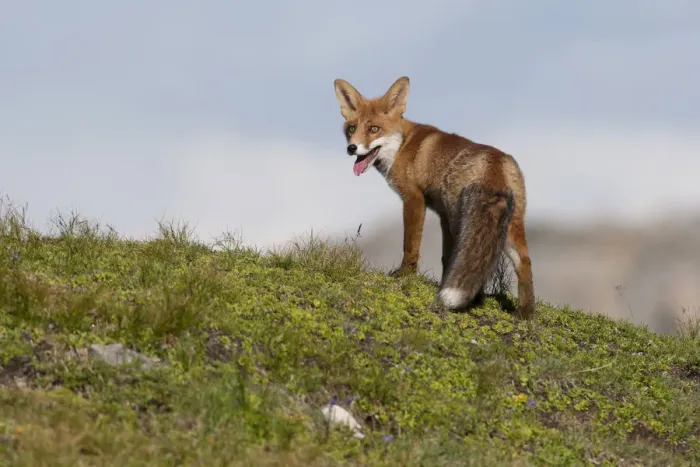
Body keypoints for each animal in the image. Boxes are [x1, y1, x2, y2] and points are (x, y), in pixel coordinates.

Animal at [333, 76, 535, 319]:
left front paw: (404, 275)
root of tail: (495, 163)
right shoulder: (441, 213)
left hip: (463, 219)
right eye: (352, 128)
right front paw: (442, 283)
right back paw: (525, 314)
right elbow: (447, 258)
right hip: (508, 225)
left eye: (374, 129)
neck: (402, 145)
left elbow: (410, 245)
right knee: (524, 261)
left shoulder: (414, 199)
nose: (352, 148)